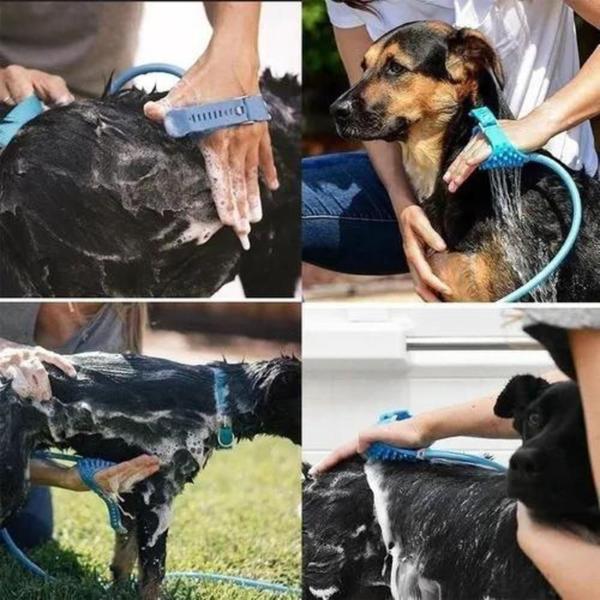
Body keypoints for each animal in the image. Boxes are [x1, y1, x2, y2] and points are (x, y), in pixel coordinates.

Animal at [0, 352, 300, 600]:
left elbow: (123, 560)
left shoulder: (131, 496)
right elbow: (153, 575)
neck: (219, 401)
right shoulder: (158, 500)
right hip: (13, 486)